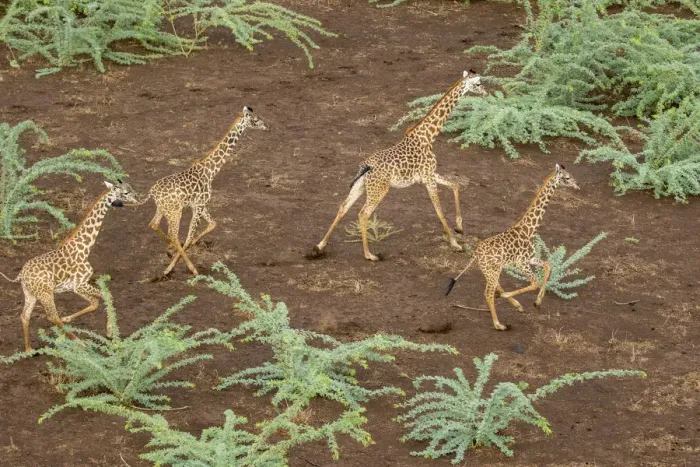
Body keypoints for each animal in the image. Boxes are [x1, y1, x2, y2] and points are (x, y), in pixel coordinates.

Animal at [0, 180, 139, 352]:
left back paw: (29, 350)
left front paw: (108, 332)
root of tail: (21, 275)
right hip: (46, 293)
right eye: (126, 192)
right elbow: (100, 299)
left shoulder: (75, 286)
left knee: (25, 315)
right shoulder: (79, 284)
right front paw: (107, 332)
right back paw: (80, 343)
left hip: (30, 293)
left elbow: (102, 298)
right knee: (52, 316)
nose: (137, 198)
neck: (85, 248)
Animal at [133, 106, 268, 276]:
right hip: (175, 211)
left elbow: (212, 224)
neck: (211, 170)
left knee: (154, 224)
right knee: (173, 234)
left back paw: (170, 250)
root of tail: (152, 192)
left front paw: (184, 249)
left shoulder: (199, 205)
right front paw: (175, 265)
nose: (267, 126)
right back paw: (186, 267)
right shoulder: (199, 204)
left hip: (164, 208)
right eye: (255, 119)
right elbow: (190, 236)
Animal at [310, 70, 487, 261]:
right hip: (379, 189)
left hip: (361, 186)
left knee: (343, 206)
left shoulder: (428, 175)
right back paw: (369, 254)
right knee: (364, 213)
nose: (486, 93)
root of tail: (366, 166)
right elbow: (439, 209)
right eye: (478, 84)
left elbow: (454, 185)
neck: (428, 136)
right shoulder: (428, 177)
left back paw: (320, 246)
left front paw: (459, 228)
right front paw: (454, 244)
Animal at [445, 164, 580, 330]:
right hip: (493, 270)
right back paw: (499, 324)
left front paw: (537, 302)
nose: (577, 185)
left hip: (490, 270)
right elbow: (534, 283)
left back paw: (514, 306)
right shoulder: (521, 263)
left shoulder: (530, 259)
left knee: (494, 287)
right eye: (567, 178)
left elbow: (548, 266)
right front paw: (515, 299)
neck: (529, 229)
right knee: (488, 293)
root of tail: (476, 254)